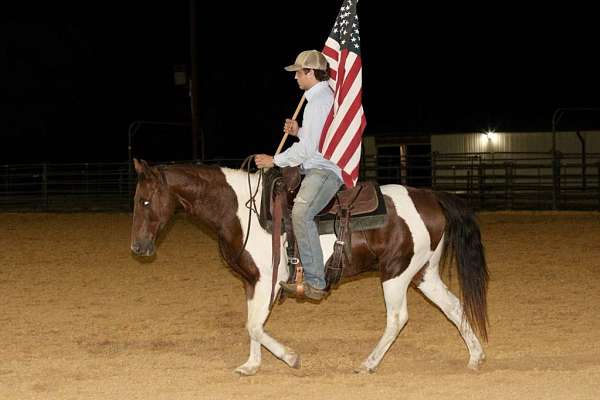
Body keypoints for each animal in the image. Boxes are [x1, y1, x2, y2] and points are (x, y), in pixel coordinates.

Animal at [130, 159, 488, 376]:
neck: (240, 210)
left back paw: (368, 363)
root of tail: (431, 197)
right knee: (454, 307)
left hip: (396, 274)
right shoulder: (252, 282)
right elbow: (251, 324)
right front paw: (251, 365)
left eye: (145, 201)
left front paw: (290, 357)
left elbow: (255, 326)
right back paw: (475, 357)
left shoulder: (269, 282)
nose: (138, 247)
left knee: (398, 319)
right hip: (424, 273)